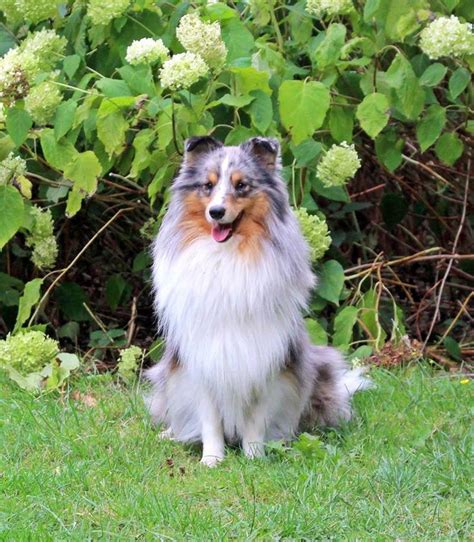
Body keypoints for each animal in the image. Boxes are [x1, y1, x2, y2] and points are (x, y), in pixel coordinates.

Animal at [146, 137, 368, 468]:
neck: (227, 257)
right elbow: (209, 417)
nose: (216, 212)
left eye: (242, 186)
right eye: (207, 185)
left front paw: (254, 457)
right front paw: (212, 459)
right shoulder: (201, 358)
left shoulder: (266, 358)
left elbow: (257, 418)